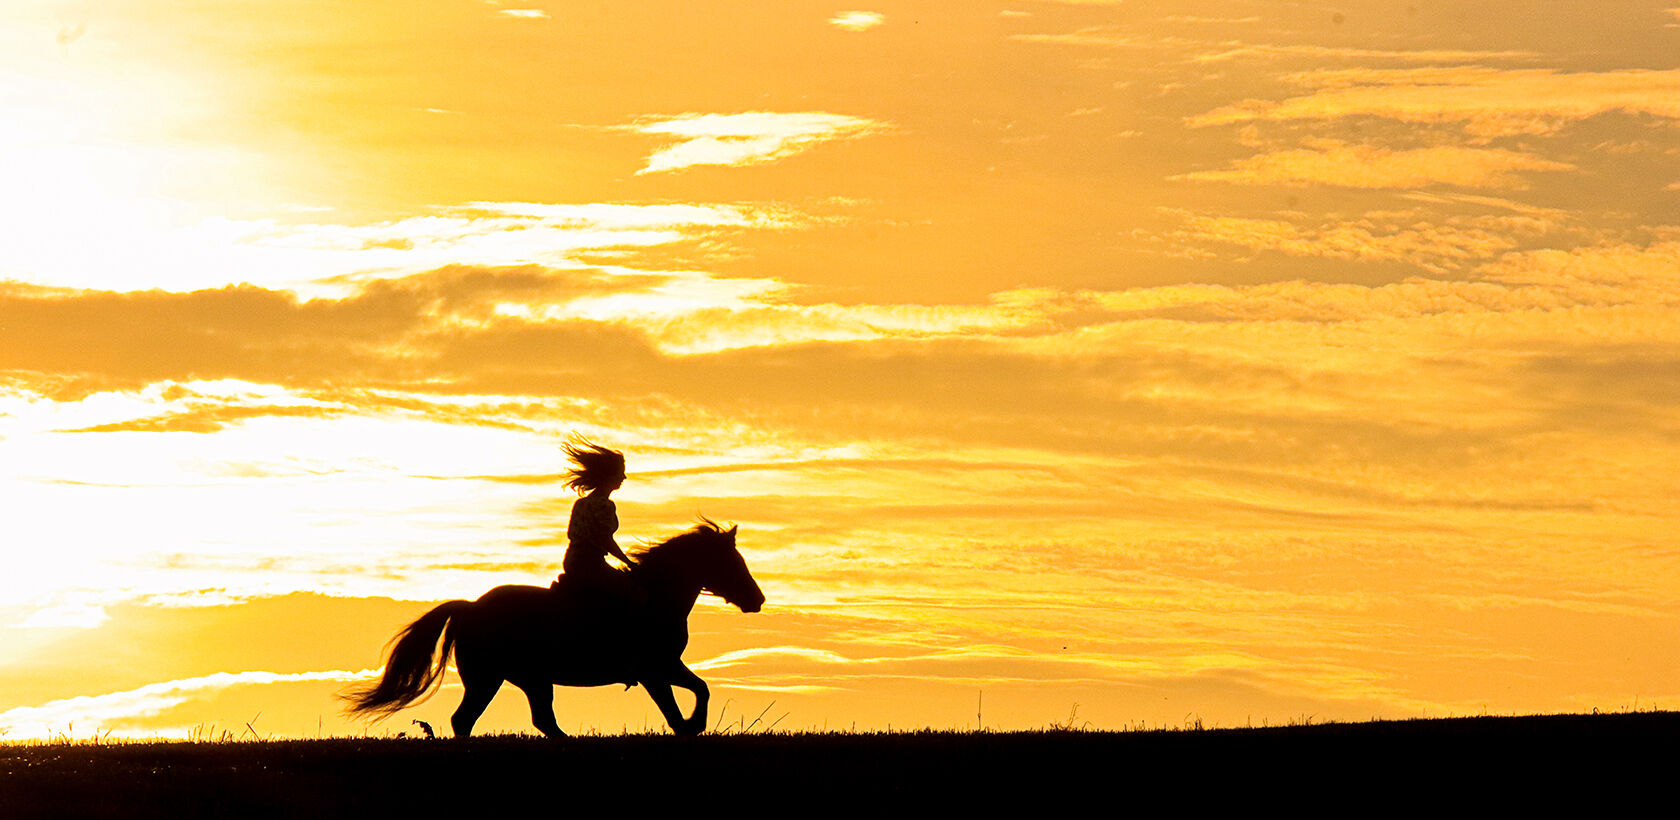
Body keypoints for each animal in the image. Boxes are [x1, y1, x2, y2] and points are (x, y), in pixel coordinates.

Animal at [344, 520, 766, 739]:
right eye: (732, 561)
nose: (757, 600)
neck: (657, 597)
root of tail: (470, 608)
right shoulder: (653, 671)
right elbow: (679, 709)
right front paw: (693, 726)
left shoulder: (666, 667)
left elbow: (701, 689)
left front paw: (695, 724)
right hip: (489, 678)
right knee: (465, 720)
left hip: (530, 679)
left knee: (538, 719)